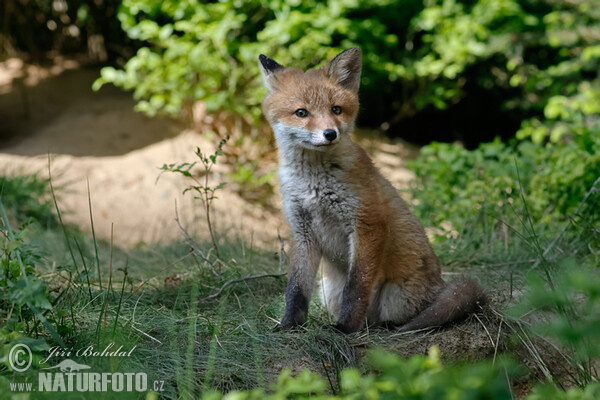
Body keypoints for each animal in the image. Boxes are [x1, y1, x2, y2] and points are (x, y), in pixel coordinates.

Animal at [258, 47, 488, 334]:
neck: (313, 183)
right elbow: (296, 290)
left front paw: (345, 328)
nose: (330, 133)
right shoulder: (302, 231)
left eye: (336, 109)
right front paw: (289, 325)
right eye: (302, 113)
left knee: (394, 318)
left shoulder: (368, 224)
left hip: (394, 296)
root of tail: (441, 285)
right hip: (329, 290)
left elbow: (356, 288)